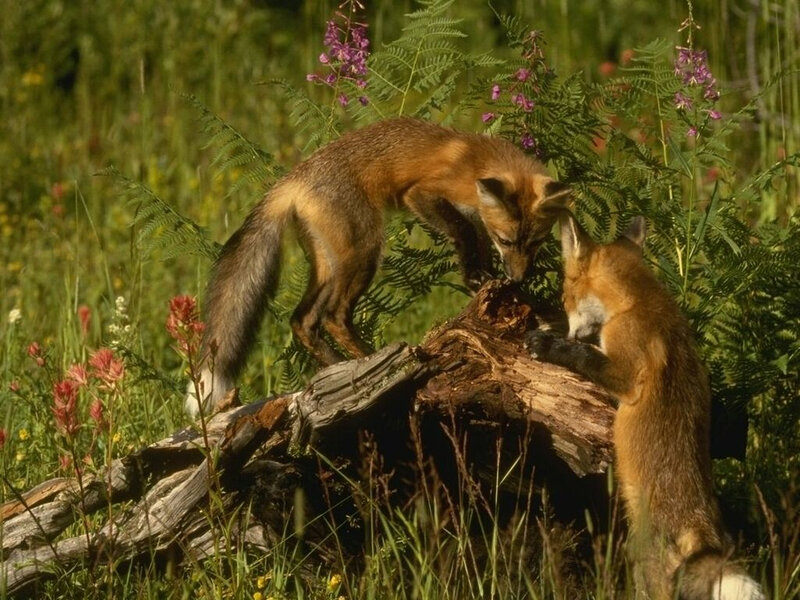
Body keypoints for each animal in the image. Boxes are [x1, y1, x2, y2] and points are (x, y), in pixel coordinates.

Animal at [187, 117, 571, 416]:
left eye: (535, 243)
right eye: (507, 240)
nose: (517, 278)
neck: (478, 162)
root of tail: (292, 180)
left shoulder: (477, 221)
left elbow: (474, 245)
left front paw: (482, 278)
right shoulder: (423, 195)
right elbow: (461, 231)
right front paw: (477, 277)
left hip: (330, 264)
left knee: (302, 320)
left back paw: (337, 367)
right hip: (365, 252)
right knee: (334, 316)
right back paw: (374, 364)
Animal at [526, 214, 763, 600]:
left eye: (564, 295)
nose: (569, 330)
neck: (639, 300)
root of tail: (700, 529)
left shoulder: (627, 372)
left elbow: (587, 357)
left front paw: (550, 345)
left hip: (643, 565)